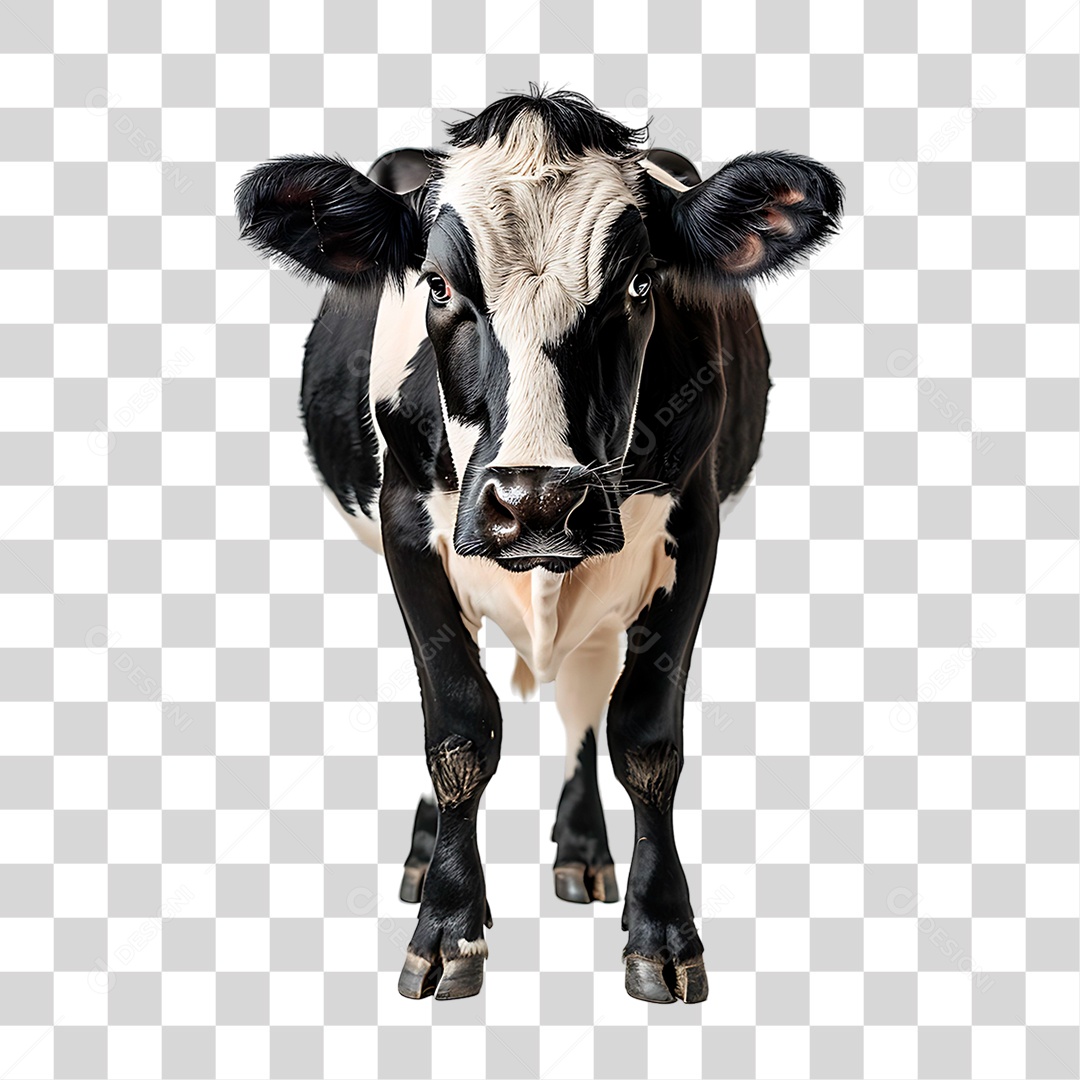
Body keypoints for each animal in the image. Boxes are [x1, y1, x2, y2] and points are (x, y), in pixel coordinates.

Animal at [237, 87, 843, 1004]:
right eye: (439, 285)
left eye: (638, 284)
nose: (538, 501)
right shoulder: (407, 528)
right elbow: (459, 728)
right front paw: (448, 928)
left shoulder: (694, 528)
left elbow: (644, 737)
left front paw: (661, 932)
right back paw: (426, 855)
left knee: (583, 700)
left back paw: (583, 851)